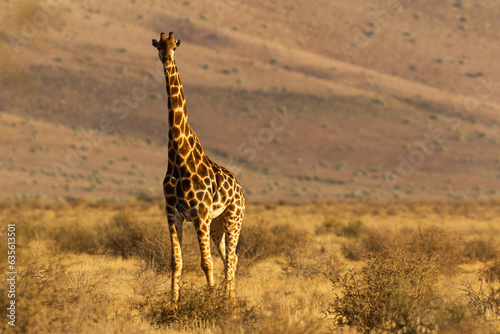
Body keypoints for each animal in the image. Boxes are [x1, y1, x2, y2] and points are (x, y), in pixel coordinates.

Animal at [152, 32, 246, 302]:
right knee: (231, 257)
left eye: (175, 46)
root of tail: (241, 190)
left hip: (233, 218)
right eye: (159, 46)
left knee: (232, 258)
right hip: (218, 225)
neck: (178, 157)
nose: (166, 58)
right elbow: (176, 263)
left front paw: (211, 302)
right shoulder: (172, 214)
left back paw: (227, 301)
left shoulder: (199, 215)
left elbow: (206, 263)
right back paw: (229, 298)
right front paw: (173, 304)